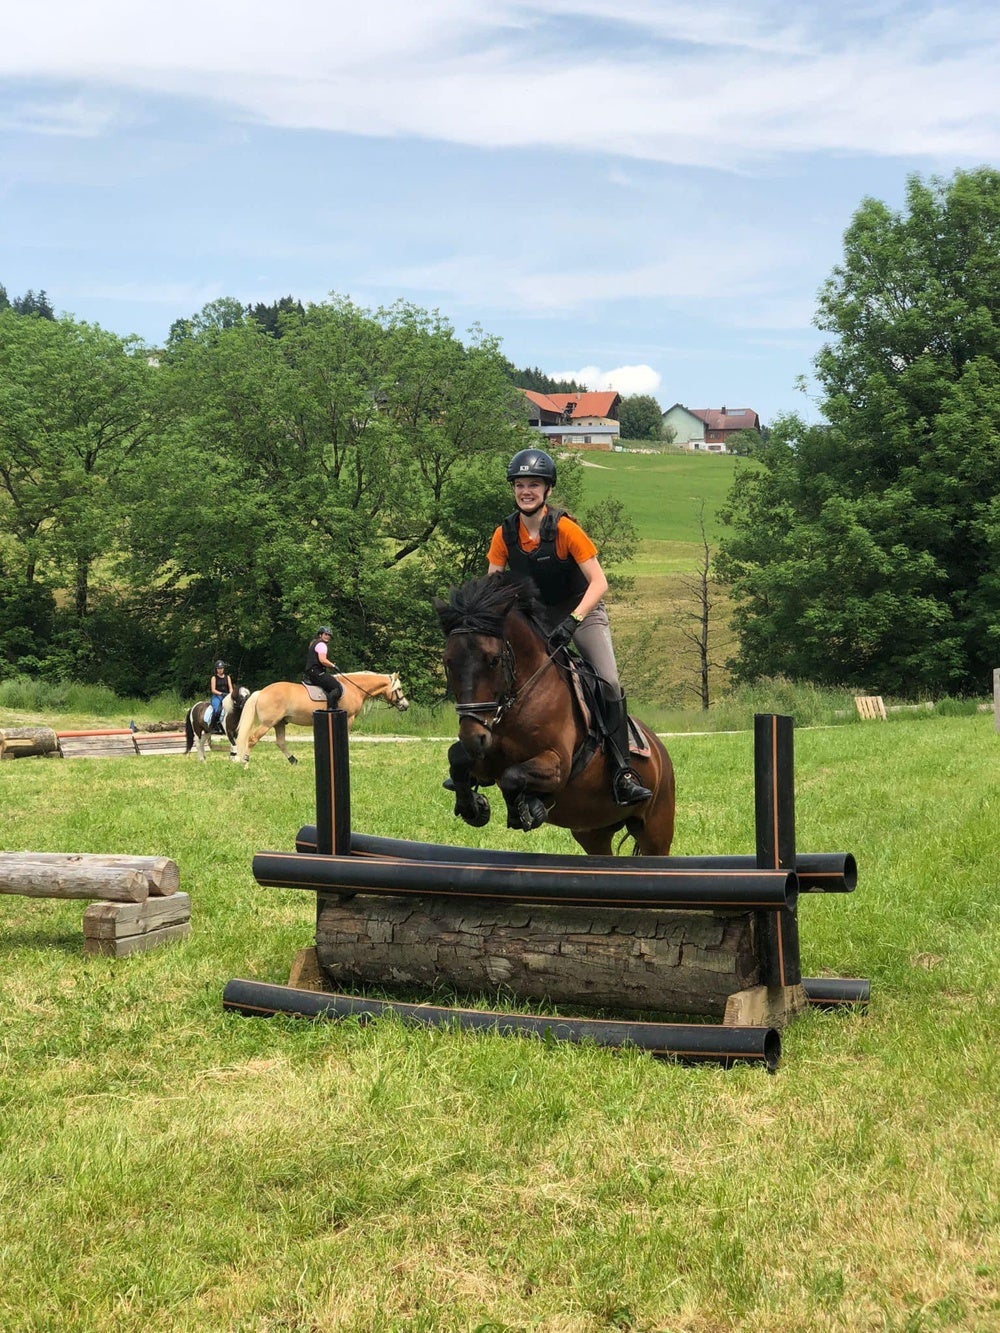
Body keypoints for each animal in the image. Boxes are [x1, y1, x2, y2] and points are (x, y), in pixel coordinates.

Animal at [234, 671, 410, 765]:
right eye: (399, 689)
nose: (405, 705)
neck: (353, 688)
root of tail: (262, 692)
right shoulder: (349, 719)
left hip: (279, 723)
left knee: (281, 742)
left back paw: (293, 761)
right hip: (267, 723)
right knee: (252, 739)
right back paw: (245, 761)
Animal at [436, 573, 675, 856]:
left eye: (494, 660)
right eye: (448, 661)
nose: (473, 738)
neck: (519, 698)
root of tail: (660, 750)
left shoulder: (558, 763)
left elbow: (513, 776)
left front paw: (525, 811)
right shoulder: (487, 759)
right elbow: (458, 758)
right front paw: (472, 806)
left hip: (655, 830)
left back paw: (627, 785)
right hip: (592, 831)